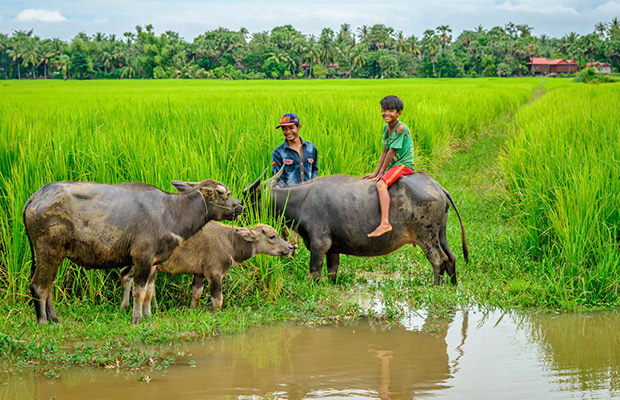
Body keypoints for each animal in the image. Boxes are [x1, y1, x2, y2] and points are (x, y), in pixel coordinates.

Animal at [21, 180, 241, 324]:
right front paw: (137, 318)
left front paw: (147, 315)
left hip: (53, 256)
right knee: (38, 286)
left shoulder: (153, 262)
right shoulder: (142, 258)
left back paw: (54, 318)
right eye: (225, 194)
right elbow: (139, 291)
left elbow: (149, 292)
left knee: (48, 286)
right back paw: (43, 322)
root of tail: (35, 198)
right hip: (48, 252)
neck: (171, 213)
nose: (239, 206)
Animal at [121, 222, 296, 310]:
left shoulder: (199, 273)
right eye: (272, 236)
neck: (229, 242)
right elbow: (218, 299)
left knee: (127, 276)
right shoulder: (214, 273)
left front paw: (192, 310)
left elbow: (196, 294)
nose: (290, 247)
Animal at [245, 167, 468, 286]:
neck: (300, 201)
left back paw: (435, 287)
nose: (239, 211)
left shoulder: (319, 245)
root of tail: (436, 186)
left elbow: (314, 273)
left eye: (248, 198)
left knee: (438, 260)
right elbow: (332, 272)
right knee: (451, 257)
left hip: (425, 236)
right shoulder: (333, 250)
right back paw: (453, 286)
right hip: (440, 234)